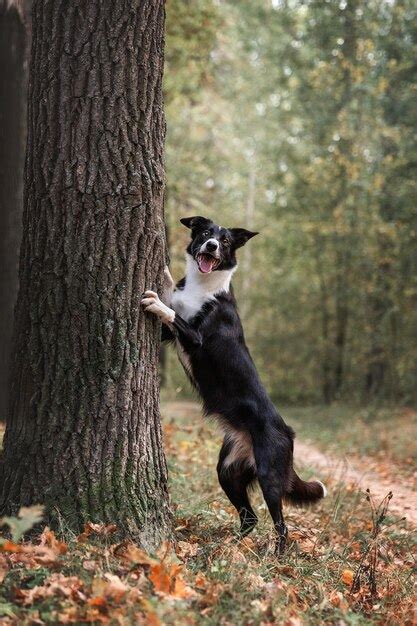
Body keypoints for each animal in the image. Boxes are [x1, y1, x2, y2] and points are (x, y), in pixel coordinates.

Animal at [141, 214, 326, 552]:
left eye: (225, 241)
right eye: (204, 233)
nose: (212, 245)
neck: (204, 286)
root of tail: (289, 433)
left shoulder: (194, 338)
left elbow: (173, 312)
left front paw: (157, 302)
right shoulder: (167, 336)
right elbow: (173, 295)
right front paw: (166, 271)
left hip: (269, 476)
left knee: (281, 525)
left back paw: (276, 557)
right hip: (228, 471)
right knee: (249, 517)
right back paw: (228, 546)